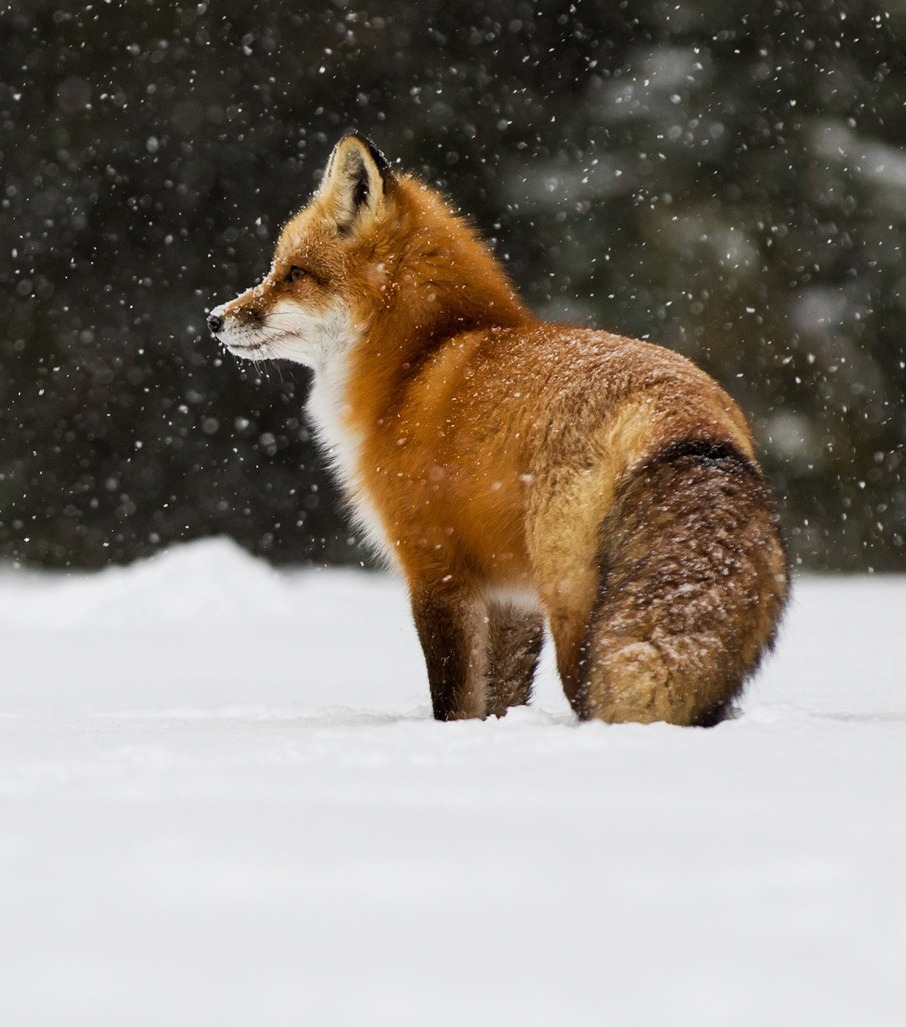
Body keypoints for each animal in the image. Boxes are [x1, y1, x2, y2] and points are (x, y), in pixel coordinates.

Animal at [206, 132, 784, 727]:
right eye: (278, 268)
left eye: (294, 273)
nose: (214, 318)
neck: (415, 362)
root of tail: (685, 414)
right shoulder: (511, 599)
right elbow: (499, 699)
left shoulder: (436, 571)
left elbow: (454, 699)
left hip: (573, 609)